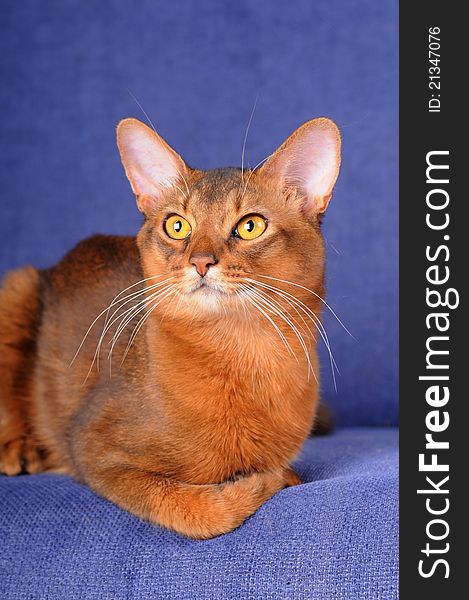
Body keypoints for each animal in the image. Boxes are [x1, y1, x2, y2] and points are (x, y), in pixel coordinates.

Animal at [0, 117, 342, 540]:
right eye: (177, 226)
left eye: (250, 226)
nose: (201, 261)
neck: (241, 355)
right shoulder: (93, 448)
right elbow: (195, 510)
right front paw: (265, 481)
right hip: (17, 287)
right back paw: (20, 448)